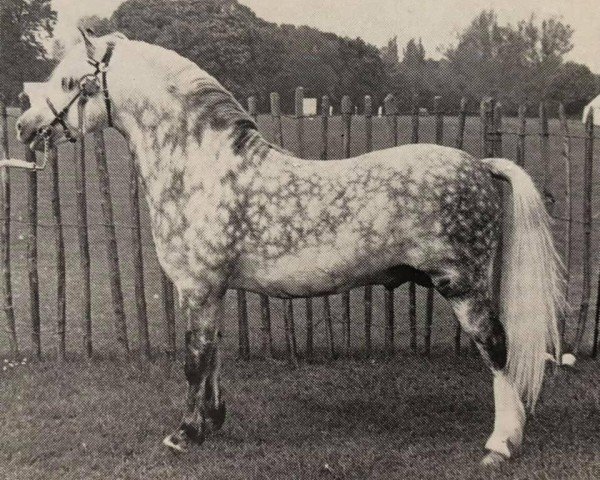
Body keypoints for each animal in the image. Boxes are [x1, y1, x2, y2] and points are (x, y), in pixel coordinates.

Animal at [16, 30, 564, 464]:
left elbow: (194, 359)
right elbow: (212, 355)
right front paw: (213, 422)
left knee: (497, 348)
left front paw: (184, 434)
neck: (200, 167)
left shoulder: (198, 287)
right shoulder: (211, 291)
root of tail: (480, 164)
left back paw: (500, 444)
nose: (23, 127)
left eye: (69, 82)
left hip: (463, 286)